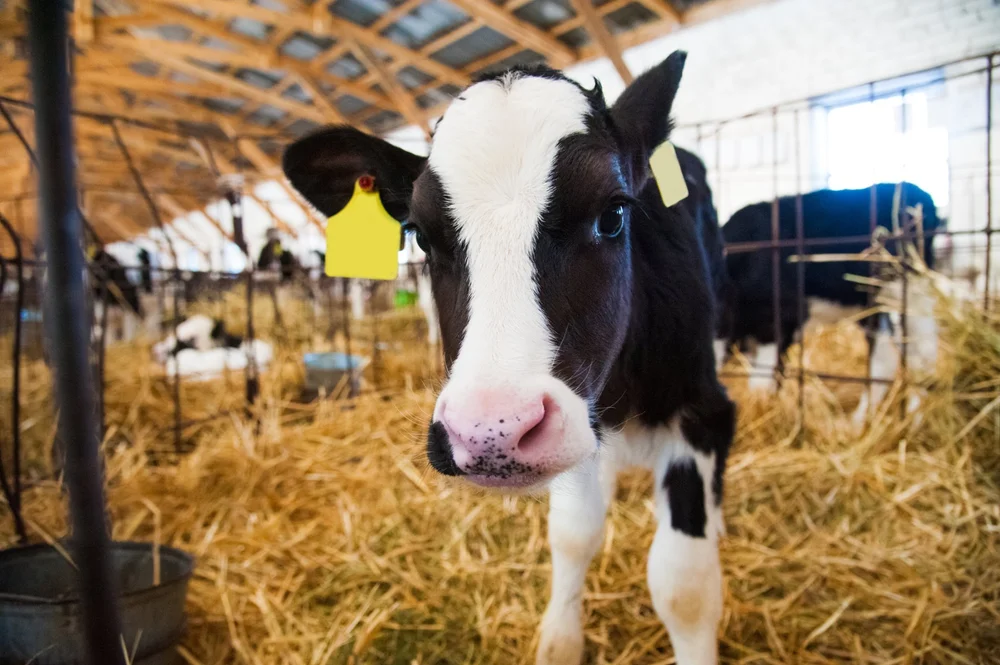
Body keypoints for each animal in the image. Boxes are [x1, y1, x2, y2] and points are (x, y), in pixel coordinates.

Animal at [283, 51, 734, 665]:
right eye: (420, 235)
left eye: (614, 214)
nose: (489, 433)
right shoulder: (582, 428)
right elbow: (573, 533)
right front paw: (561, 640)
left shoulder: (702, 414)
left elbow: (684, 588)